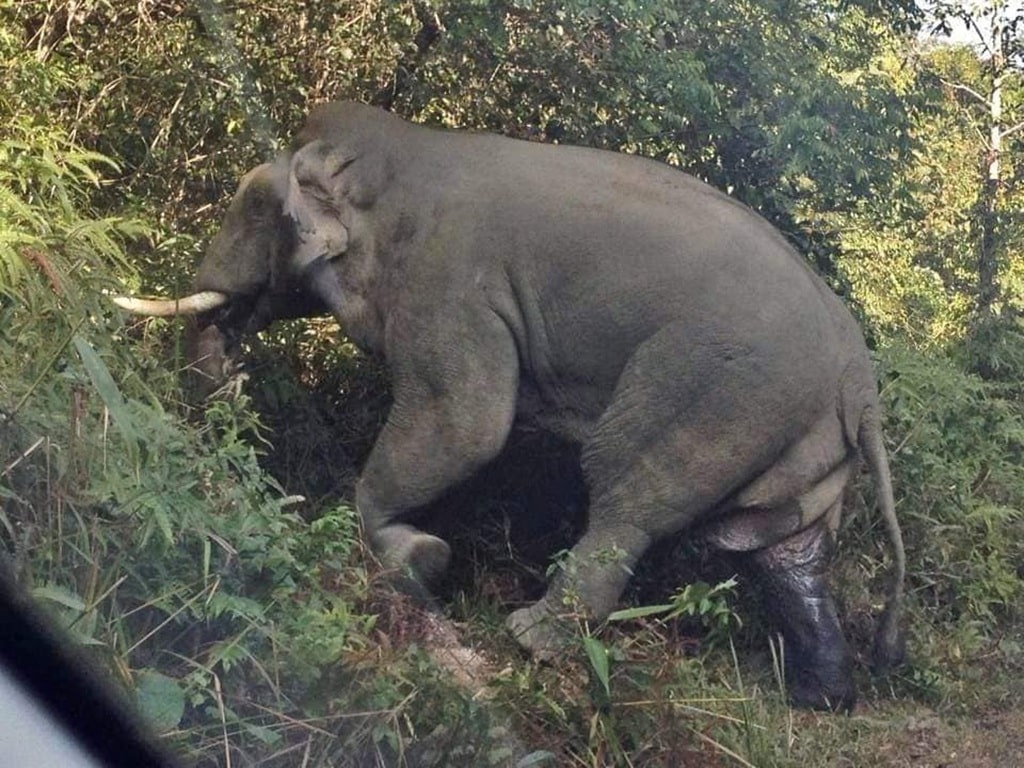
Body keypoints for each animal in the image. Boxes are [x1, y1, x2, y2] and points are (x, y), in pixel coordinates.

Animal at [116, 101, 905, 711]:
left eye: (254, 205)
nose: (230, 386)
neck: (402, 151)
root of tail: (860, 380)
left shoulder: (451, 285)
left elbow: (466, 422)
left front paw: (420, 559)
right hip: (802, 437)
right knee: (782, 549)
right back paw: (823, 697)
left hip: (719, 391)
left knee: (627, 494)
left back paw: (531, 641)